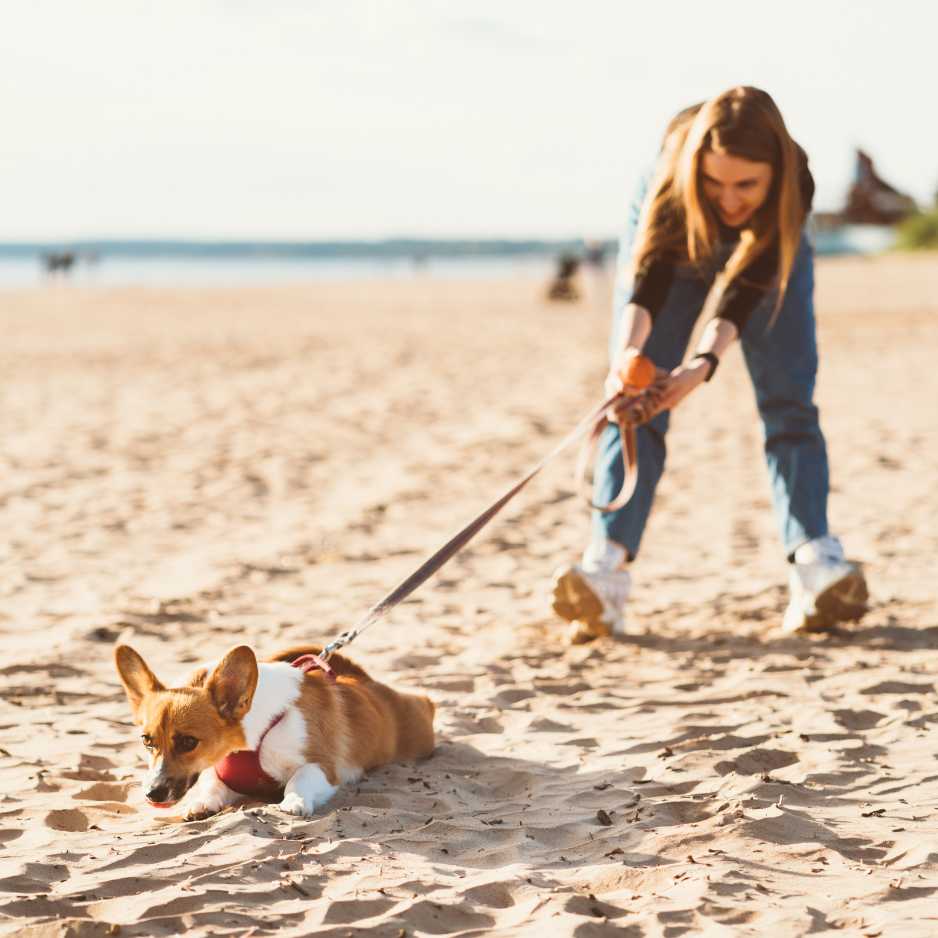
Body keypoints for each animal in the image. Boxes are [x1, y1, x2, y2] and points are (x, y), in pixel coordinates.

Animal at [114, 640, 436, 816]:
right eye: (146, 741)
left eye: (188, 742)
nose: (152, 794)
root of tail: (363, 680)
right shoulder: (218, 773)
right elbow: (210, 783)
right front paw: (202, 803)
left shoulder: (322, 767)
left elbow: (299, 779)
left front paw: (294, 801)